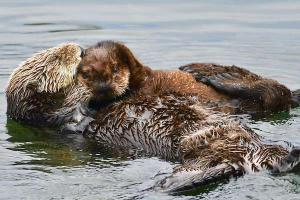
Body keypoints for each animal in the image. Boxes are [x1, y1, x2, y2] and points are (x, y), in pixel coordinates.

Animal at [71, 40, 298, 192]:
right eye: (86, 74)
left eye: (115, 69)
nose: (103, 87)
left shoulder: (143, 77)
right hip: (210, 156)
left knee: (277, 91)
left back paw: (212, 73)